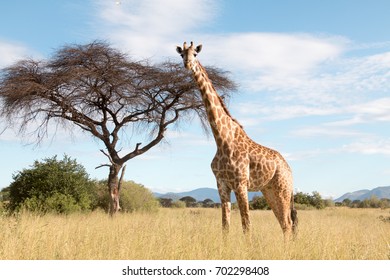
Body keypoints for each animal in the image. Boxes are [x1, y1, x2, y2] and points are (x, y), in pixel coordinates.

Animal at [177, 41, 298, 238]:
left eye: (195, 53)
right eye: (182, 54)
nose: (188, 64)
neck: (222, 140)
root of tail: (289, 169)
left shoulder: (241, 184)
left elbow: (246, 225)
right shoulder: (222, 185)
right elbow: (225, 226)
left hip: (283, 189)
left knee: (287, 223)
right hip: (269, 190)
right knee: (284, 223)